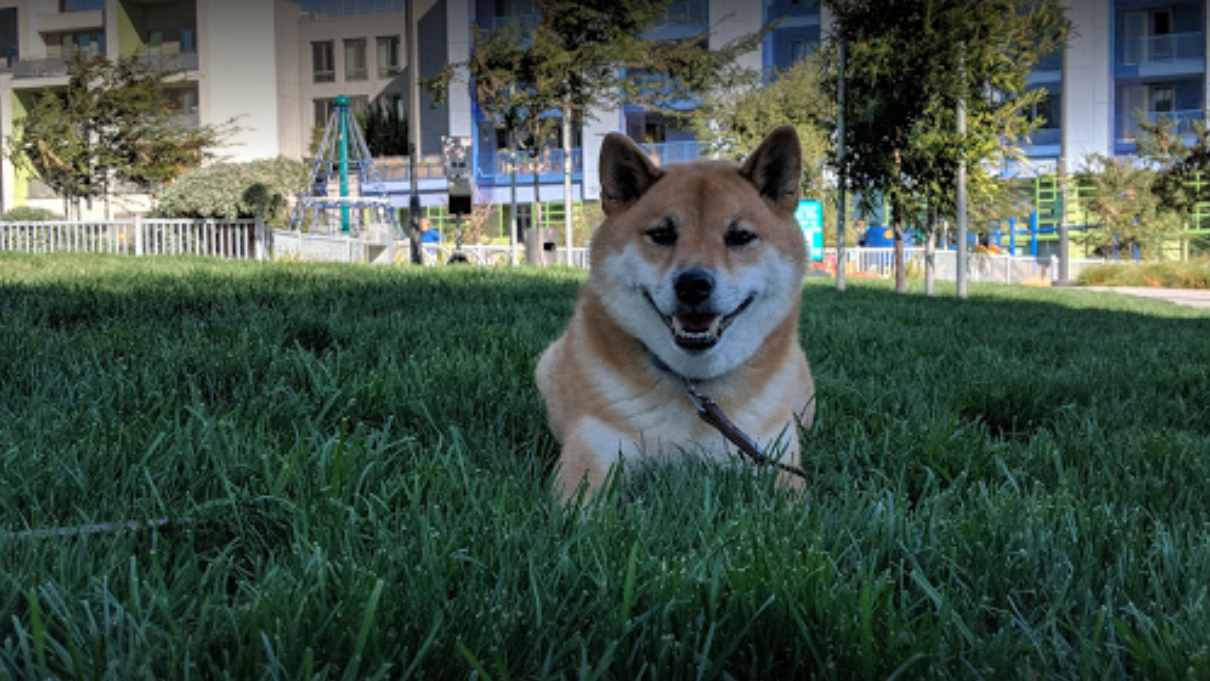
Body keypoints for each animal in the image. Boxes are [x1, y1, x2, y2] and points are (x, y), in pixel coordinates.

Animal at [537, 128, 813, 498]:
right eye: (662, 234)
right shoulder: (593, 449)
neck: (694, 382)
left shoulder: (772, 454)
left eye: (740, 236)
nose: (693, 285)